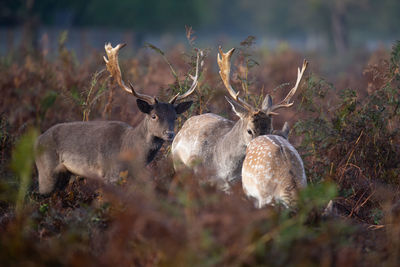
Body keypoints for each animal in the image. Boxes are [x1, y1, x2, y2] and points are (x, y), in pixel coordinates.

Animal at [34, 43, 203, 196]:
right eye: (154, 115)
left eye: (175, 116)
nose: (169, 134)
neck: (130, 151)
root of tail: (37, 140)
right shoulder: (111, 174)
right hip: (46, 169)